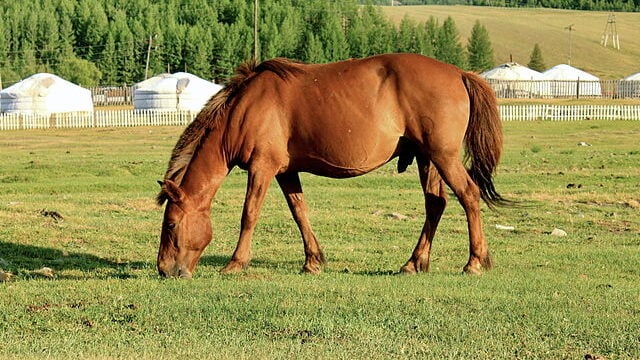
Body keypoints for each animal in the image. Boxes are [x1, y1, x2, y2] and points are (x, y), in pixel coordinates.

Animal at [155, 53, 504, 278]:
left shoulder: (262, 168)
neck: (244, 109)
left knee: (469, 195)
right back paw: (414, 263)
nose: (164, 270)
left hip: (443, 156)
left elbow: (249, 214)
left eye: (170, 225)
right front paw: (313, 261)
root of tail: (459, 73)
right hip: (426, 158)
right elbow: (299, 212)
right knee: (436, 204)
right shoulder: (286, 172)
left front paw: (236, 263)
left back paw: (474, 262)